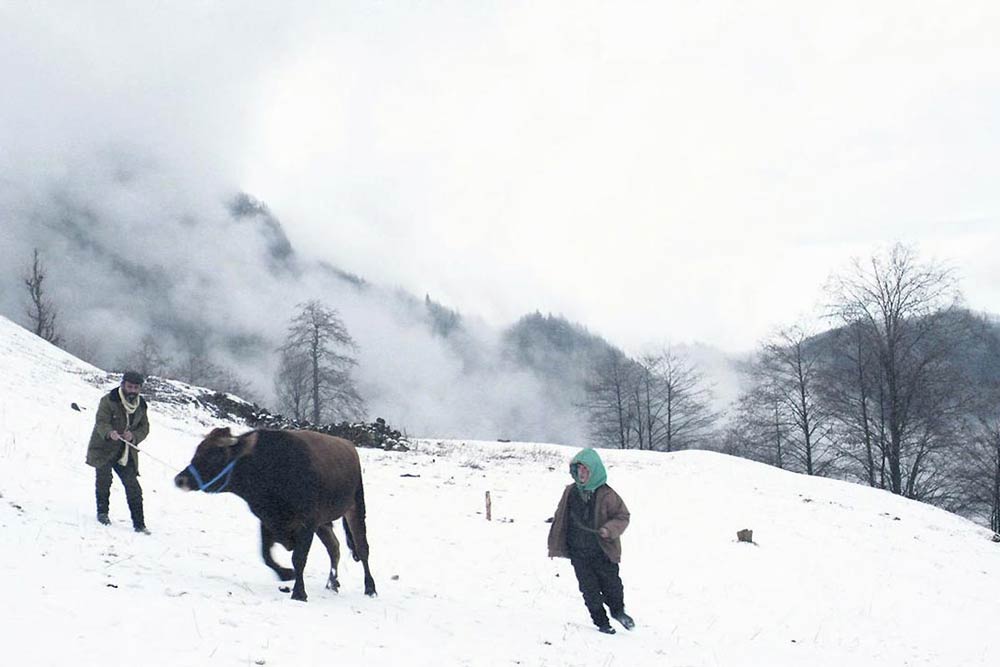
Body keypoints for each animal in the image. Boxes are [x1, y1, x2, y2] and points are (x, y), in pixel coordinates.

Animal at [174, 430, 376, 604]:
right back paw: (332, 583)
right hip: (323, 523)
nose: (180, 479)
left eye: (215, 455)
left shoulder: (307, 523)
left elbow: (299, 558)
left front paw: (299, 593)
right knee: (334, 547)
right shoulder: (267, 521)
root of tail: (349, 446)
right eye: (198, 450)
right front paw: (286, 574)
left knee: (362, 549)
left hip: (356, 508)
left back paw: (370, 588)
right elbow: (266, 555)